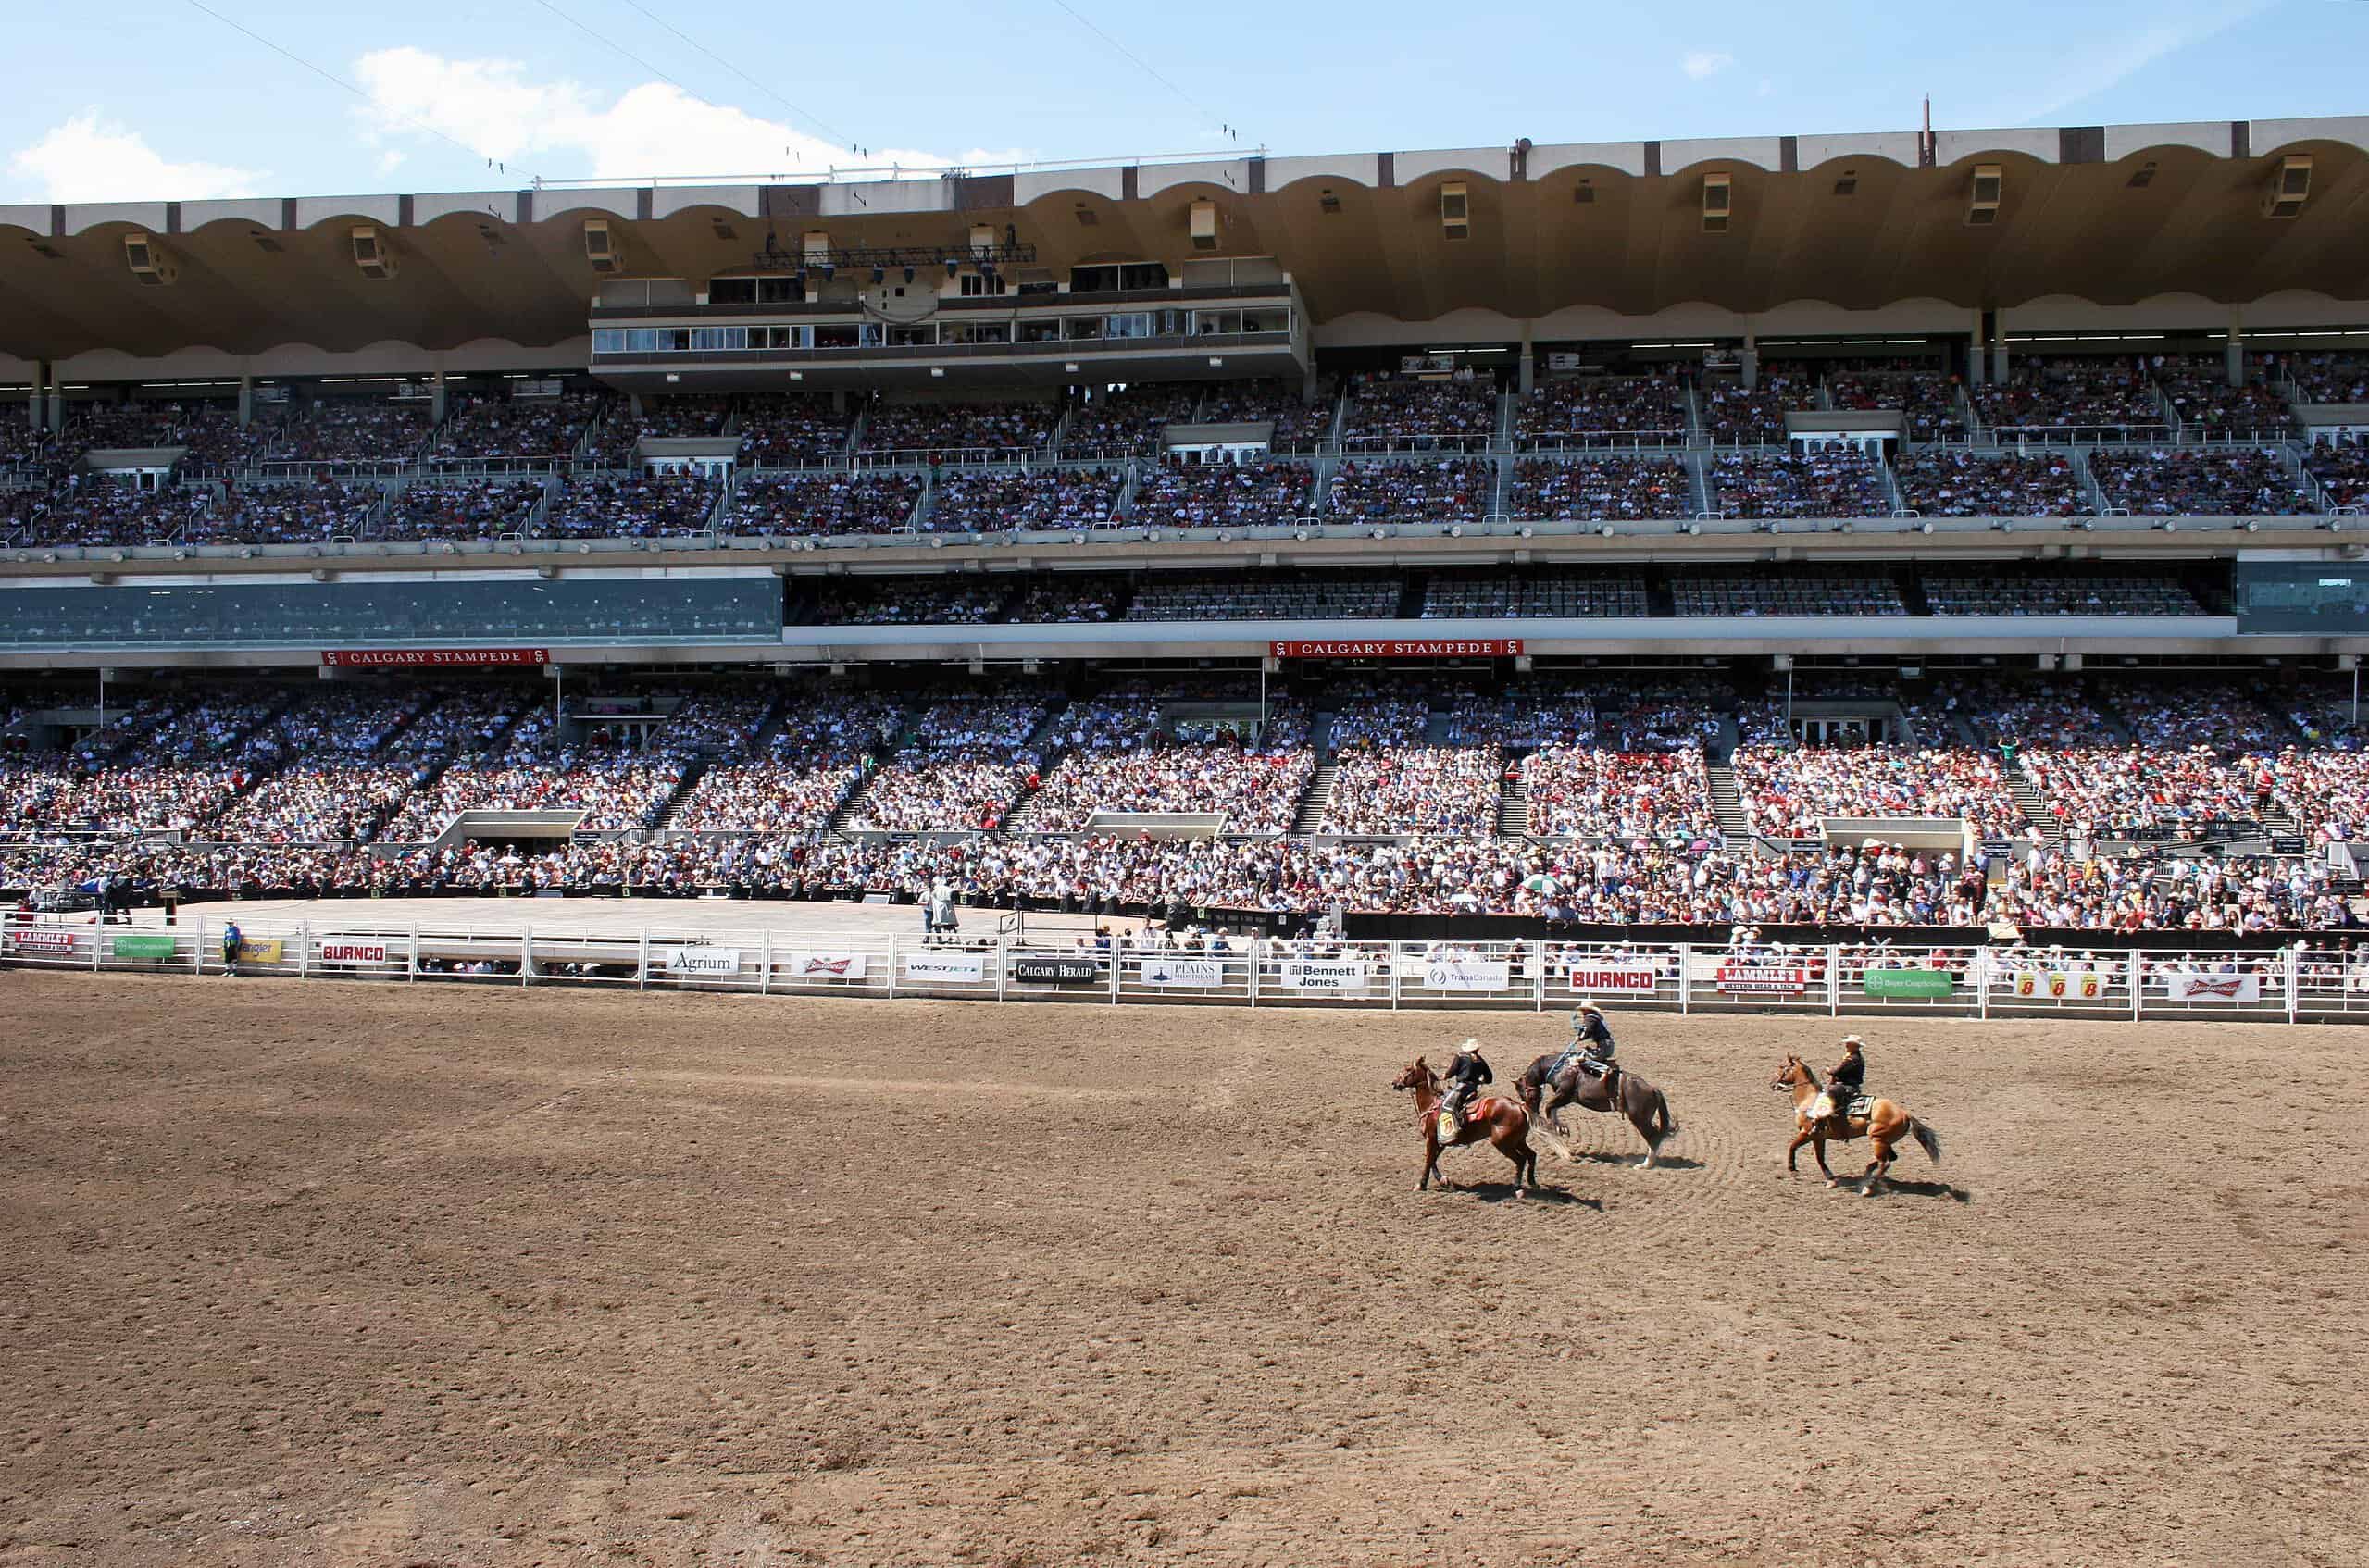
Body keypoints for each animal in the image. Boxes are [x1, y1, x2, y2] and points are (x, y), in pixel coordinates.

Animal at [1383, 1061, 1535, 1198]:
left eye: (1408, 1069)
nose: (1394, 1083)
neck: (1431, 1105)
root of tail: (1518, 1106)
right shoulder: (1440, 1141)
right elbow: (1433, 1159)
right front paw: (1444, 1181)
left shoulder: (1431, 1139)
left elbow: (1428, 1160)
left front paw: (1421, 1185)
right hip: (1518, 1141)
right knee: (1531, 1155)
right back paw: (1532, 1182)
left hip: (1502, 1143)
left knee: (1520, 1160)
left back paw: (1518, 1188)